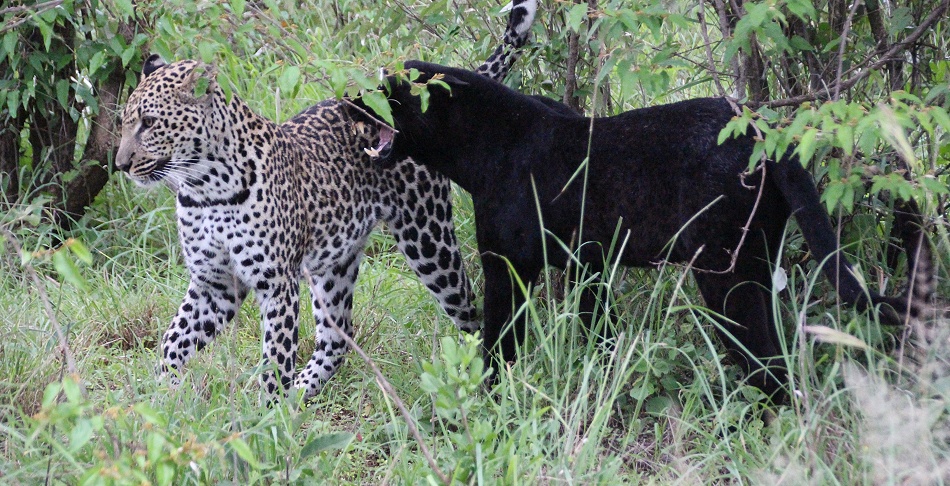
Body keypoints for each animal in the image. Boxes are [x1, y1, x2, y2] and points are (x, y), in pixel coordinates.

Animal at [114, 1, 539, 399]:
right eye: (124, 122)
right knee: (338, 337)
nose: (120, 164)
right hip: (336, 262)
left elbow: (276, 358)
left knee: (470, 313)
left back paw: (474, 378)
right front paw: (160, 401)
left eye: (149, 124)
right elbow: (174, 341)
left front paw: (270, 417)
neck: (204, 188)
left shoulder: (276, 282)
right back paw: (301, 394)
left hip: (429, 243)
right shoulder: (214, 282)